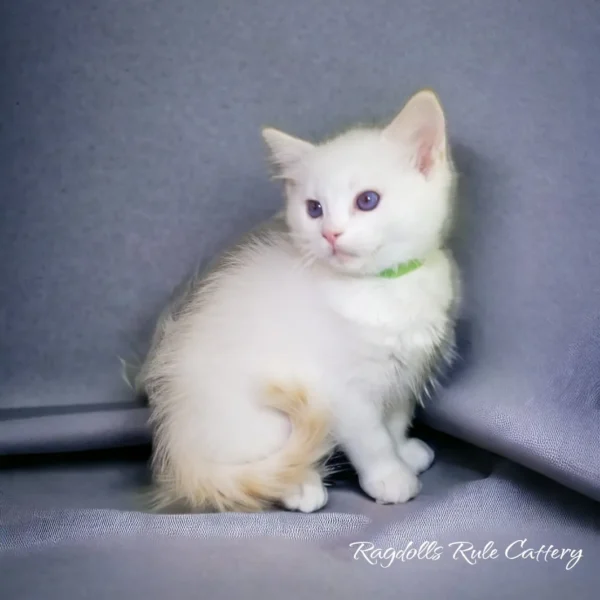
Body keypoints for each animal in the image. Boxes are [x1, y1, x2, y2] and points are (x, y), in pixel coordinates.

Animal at [139, 88, 460, 510]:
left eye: (367, 200)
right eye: (314, 209)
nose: (330, 234)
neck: (379, 287)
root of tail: (179, 453)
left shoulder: (405, 373)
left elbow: (394, 419)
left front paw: (404, 451)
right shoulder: (340, 391)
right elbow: (372, 439)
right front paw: (389, 477)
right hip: (267, 414)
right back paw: (299, 486)